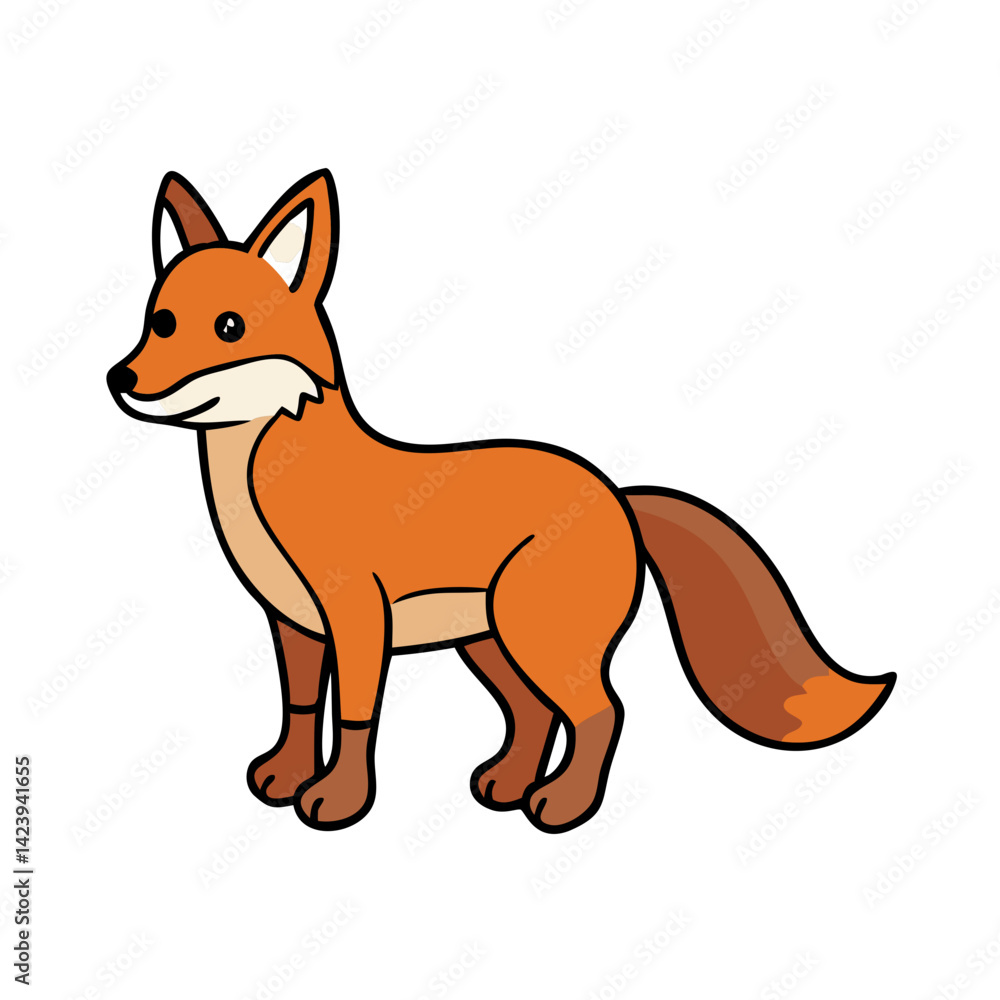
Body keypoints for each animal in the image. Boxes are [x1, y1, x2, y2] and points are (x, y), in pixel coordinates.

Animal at [107, 168, 895, 833]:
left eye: (230, 328)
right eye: (160, 321)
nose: (122, 380)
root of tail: (615, 491)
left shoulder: (358, 621)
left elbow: (356, 717)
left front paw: (339, 800)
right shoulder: (293, 622)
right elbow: (301, 707)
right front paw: (284, 775)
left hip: (537, 639)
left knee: (602, 711)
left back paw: (563, 805)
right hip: (490, 643)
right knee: (535, 715)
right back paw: (508, 785)